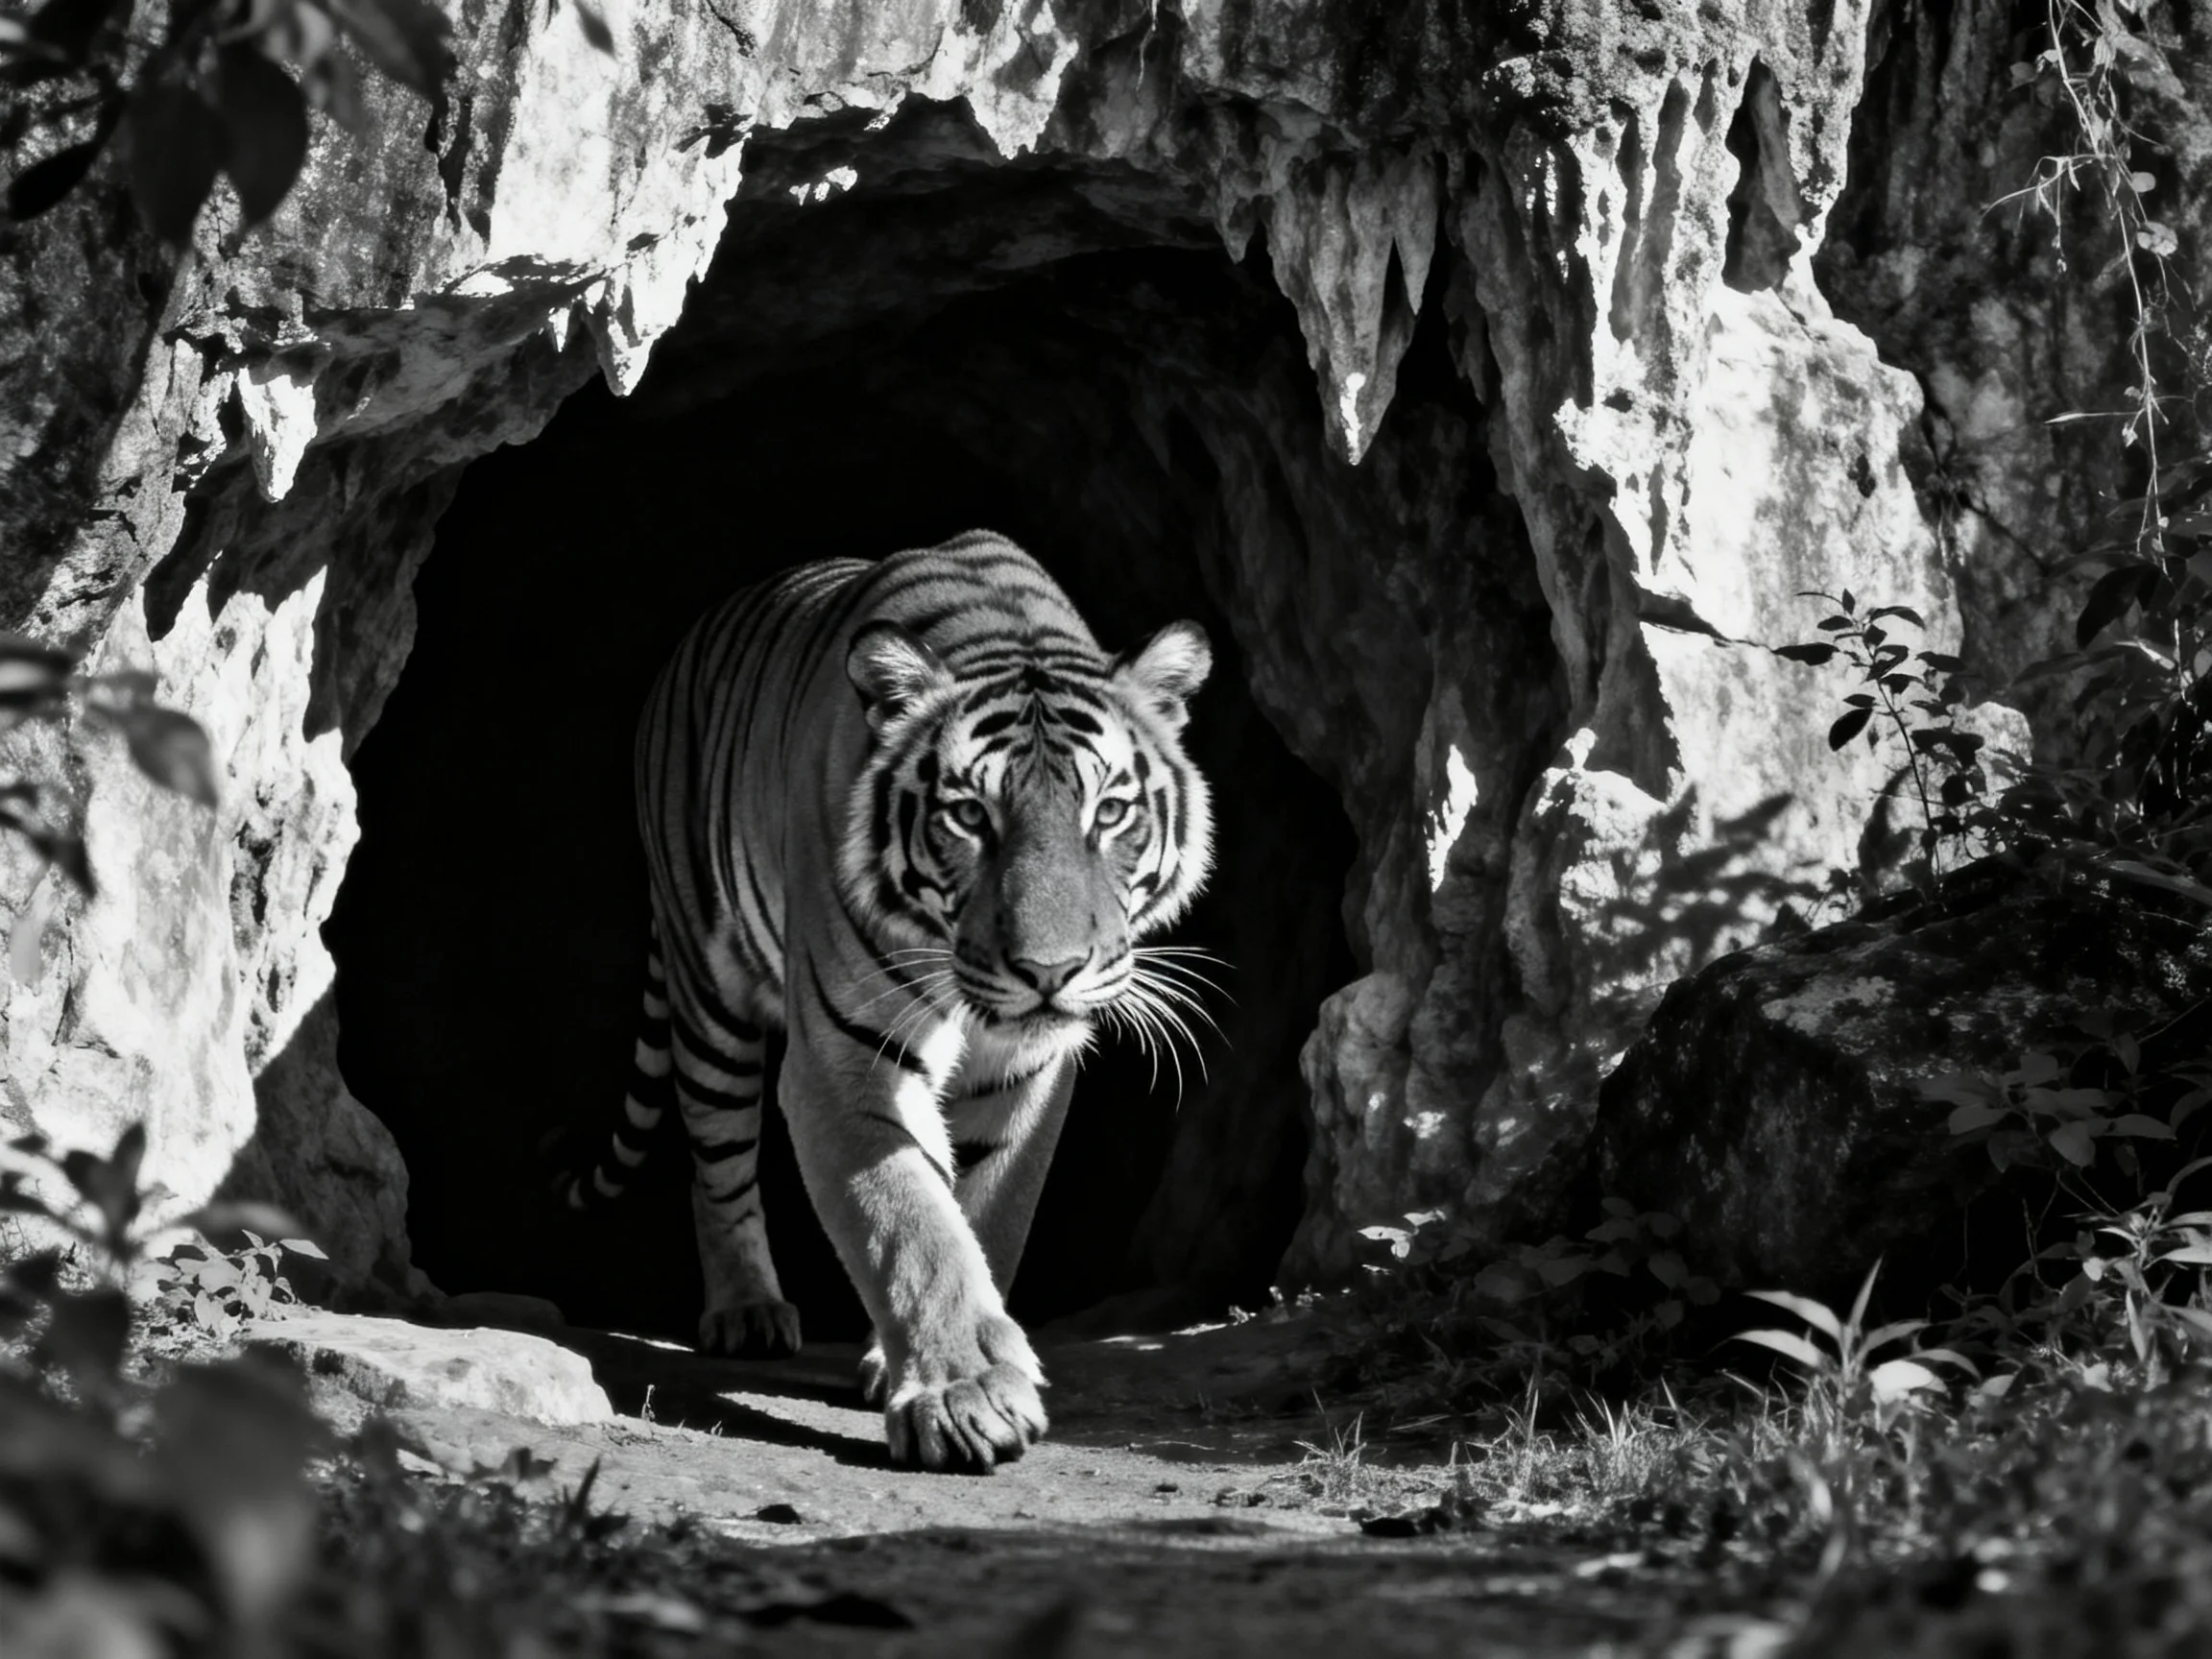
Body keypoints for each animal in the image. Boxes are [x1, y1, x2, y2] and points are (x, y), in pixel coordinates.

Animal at [557, 530, 1215, 1471]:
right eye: (970, 818)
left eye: (1112, 812)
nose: (1048, 970)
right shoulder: (843, 1060)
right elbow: (909, 1223)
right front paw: (965, 1394)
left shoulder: (1031, 1072)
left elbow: (986, 1212)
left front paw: (933, 1359)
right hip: (706, 987)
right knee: (716, 1158)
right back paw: (745, 1311)